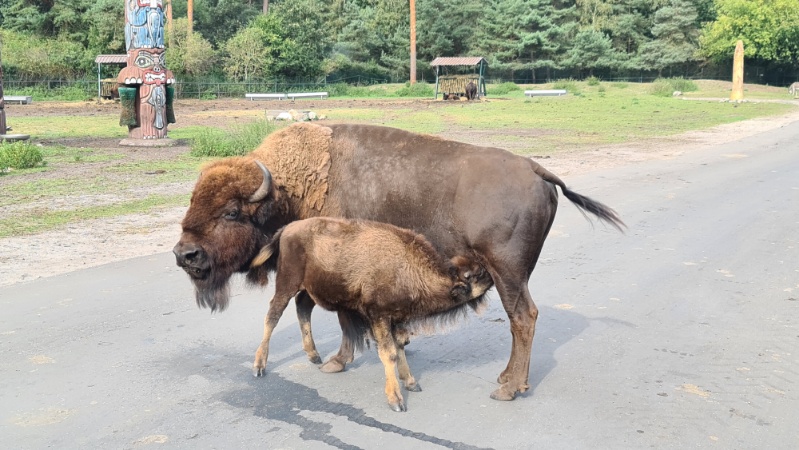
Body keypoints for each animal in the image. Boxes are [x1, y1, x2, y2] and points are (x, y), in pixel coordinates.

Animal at [247, 217, 493, 412]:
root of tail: (288, 228)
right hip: (287, 284)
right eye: (477, 274)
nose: (492, 275)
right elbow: (389, 353)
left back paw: (314, 356)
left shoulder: (397, 319)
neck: (407, 266)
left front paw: (411, 383)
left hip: (309, 289)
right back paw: (259, 366)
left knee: (302, 307)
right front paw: (396, 400)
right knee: (273, 315)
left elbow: (399, 346)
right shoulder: (379, 317)